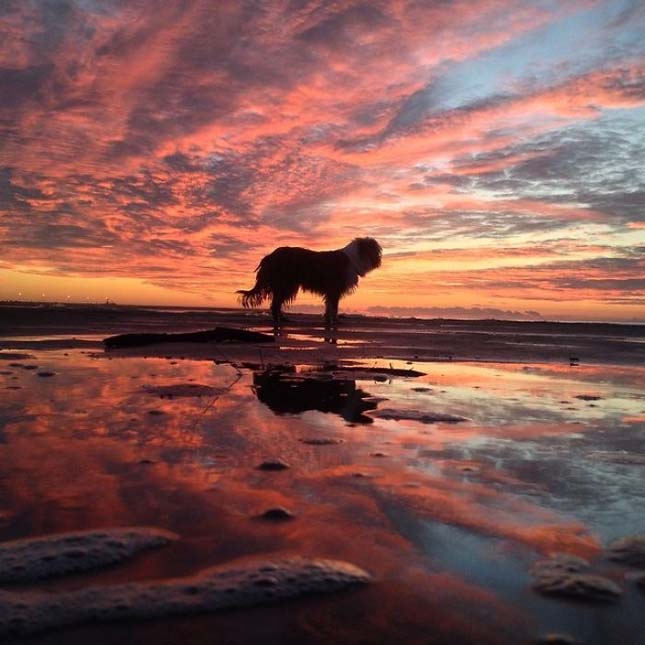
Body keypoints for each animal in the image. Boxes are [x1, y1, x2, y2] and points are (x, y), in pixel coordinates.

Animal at [236, 238, 380, 328]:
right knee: (275, 304)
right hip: (286, 284)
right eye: (375, 250)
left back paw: (283, 319)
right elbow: (334, 307)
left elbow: (329, 307)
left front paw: (328, 320)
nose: (379, 261)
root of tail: (270, 256)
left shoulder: (331, 291)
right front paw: (335, 321)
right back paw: (278, 321)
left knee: (277, 303)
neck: (354, 258)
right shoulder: (334, 289)